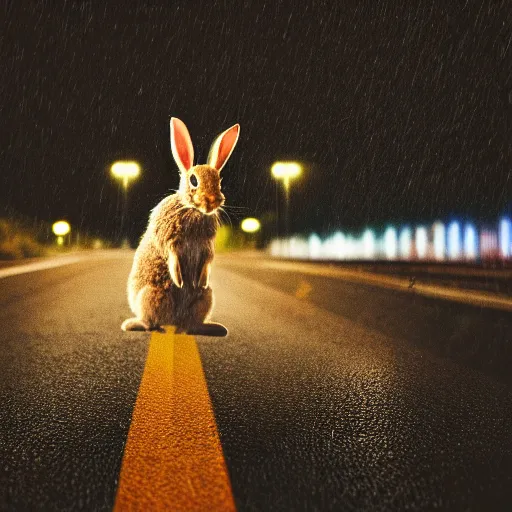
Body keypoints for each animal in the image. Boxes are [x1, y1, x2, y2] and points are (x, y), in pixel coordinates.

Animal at [122, 119, 240, 336]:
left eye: (219, 181)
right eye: (193, 180)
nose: (213, 201)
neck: (192, 208)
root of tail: (176, 323)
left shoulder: (207, 244)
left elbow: (207, 259)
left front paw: (200, 280)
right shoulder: (170, 238)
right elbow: (172, 254)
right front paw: (179, 280)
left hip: (205, 298)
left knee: (193, 323)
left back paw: (213, 328)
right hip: (151, 296)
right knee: (151, 321)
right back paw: (138, 325)